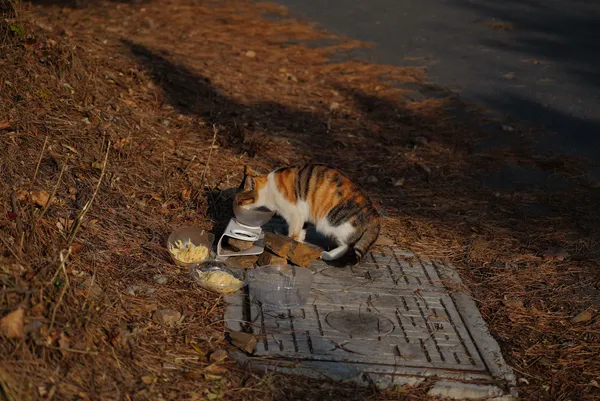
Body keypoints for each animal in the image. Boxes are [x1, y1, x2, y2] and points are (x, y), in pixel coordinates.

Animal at [236, 163, 380, 262]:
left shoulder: (294, 214)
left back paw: (327, 255)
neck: (268, 189)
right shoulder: (302, 215)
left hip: (331, 224)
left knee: (346, 246)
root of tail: (374, 214)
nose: (236, 208)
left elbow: (293, 234)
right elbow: (302, 232)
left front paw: (290, 246)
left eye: (239, 201)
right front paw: (299, 245)